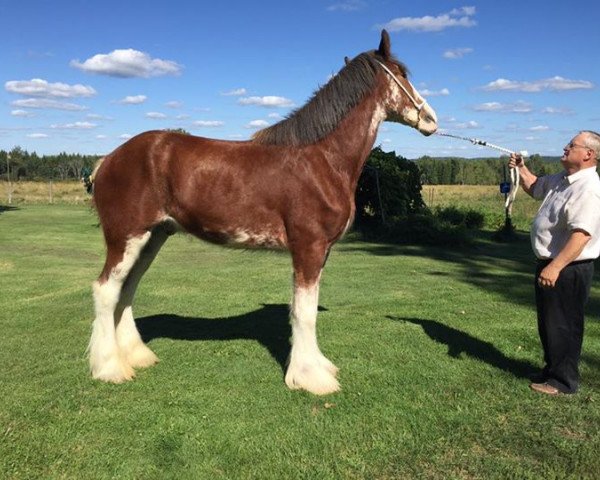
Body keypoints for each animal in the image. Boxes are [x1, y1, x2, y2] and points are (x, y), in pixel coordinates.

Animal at [88, 31, 436, 398]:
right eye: (402, 73)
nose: (431, 119)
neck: (322, 160)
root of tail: (108, 160)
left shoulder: (320, 251)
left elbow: (306, 308)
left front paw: (318, 366)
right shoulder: (308, 247)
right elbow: (304, 312)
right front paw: (311, 377)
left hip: (153, 237)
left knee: (127, 289)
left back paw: (136, 356)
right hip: (127, 237)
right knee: (106, 290)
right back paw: (110, 368)